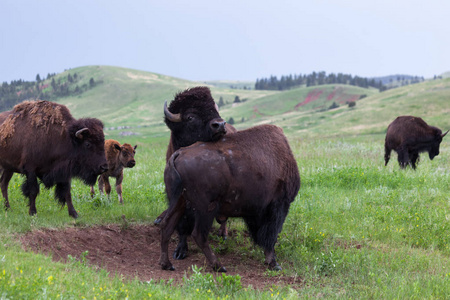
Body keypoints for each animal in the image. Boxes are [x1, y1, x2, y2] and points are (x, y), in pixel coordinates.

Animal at [156, 86, 237, 260]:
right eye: (190, 117)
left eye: (214, 108)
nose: (220, 125)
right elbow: (182, 221)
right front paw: (180, 250)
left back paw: (223, 233)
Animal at [160, 124, 300, 272]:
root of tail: (178, 154)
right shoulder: (278, 206)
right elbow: (271, 236)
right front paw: (273, 263)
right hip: (206, 209)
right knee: (198, 234)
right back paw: (219, 266)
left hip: (179, 202)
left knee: (167, 226)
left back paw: (167, 264)